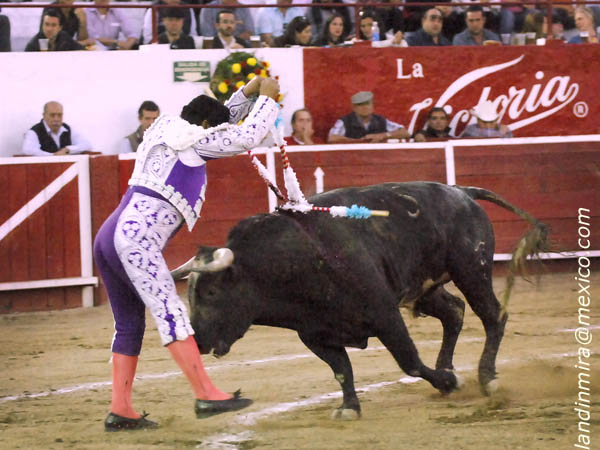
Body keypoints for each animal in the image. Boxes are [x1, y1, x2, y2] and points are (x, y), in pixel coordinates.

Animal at [171, 182, 548, 418]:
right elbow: (342, 371)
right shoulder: (315, 334)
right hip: (424, 288)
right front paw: (349, 408)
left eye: (211, 293)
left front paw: (448, 382)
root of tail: (462, 192)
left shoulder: (385, 315)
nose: (198, 341)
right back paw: (450, 368)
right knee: (454, 312)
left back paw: (486, 378)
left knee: (493, 316)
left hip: (471, 270)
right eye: (189, 295)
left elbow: (409, 361)